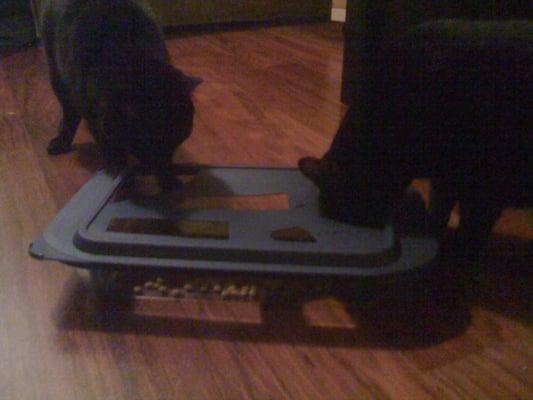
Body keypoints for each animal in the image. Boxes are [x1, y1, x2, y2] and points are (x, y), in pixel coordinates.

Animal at [41, 0, 200, 189]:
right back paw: (61, 141)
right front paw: (126, 181)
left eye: (178, 140)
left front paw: (169, 181)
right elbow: (113, 151)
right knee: (69, 112)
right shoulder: (95, 118)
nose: (162, 160)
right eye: (150, 143)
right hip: (56, 74)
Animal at [300, 19, 532, 260]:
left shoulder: (484, 186)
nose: (369, 226)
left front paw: (454, 252)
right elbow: (440, 208)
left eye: (345, 212)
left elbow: (472, 229)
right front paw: (433, 232)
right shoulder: (446, 178)